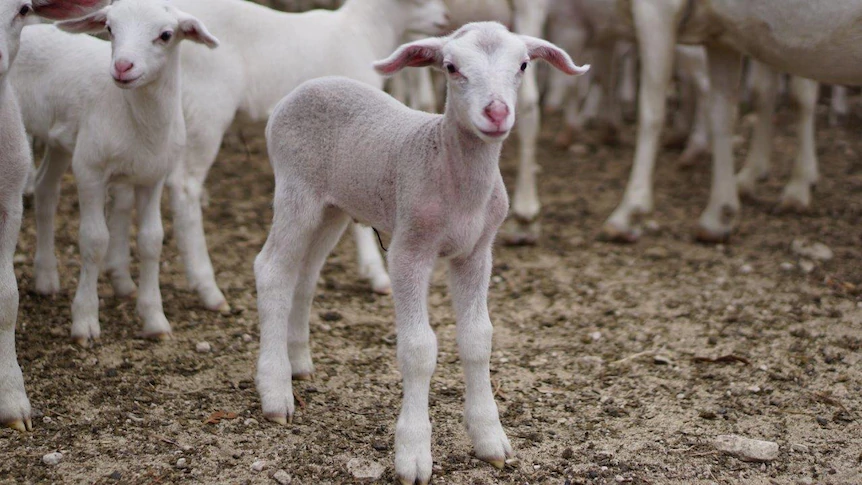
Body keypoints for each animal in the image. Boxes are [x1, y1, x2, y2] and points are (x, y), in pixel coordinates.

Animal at [11, 0, 219, 344]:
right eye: (109, 28)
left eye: (166, 35)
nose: (122, 66)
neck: (137, 120)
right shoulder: (90, 169)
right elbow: (94, 240)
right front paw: (85, 321)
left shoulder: (153, 176)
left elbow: (151, 241)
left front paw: (155, 319)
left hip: (62, 140)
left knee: (45, 189)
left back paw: (46, 278)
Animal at [100, 0, 448, 314]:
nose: (444, 19)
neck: (365, 30)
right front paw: (375, 273)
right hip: (206, 109)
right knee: (184, 186)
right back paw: (207, 288)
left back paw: (122, 278)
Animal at [256, 21, 592, 484]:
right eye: (451, 67)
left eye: (524, 64)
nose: (496, 113)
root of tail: (306, 87)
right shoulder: (409, 249)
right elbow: (418, 348)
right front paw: (413, 453)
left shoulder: (477, 251)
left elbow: (478, 337)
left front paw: (491, 439)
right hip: (294, 188)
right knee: (272, 270)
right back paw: (275, 392)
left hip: (333, 207)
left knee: (304, 276)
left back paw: (299, 362)